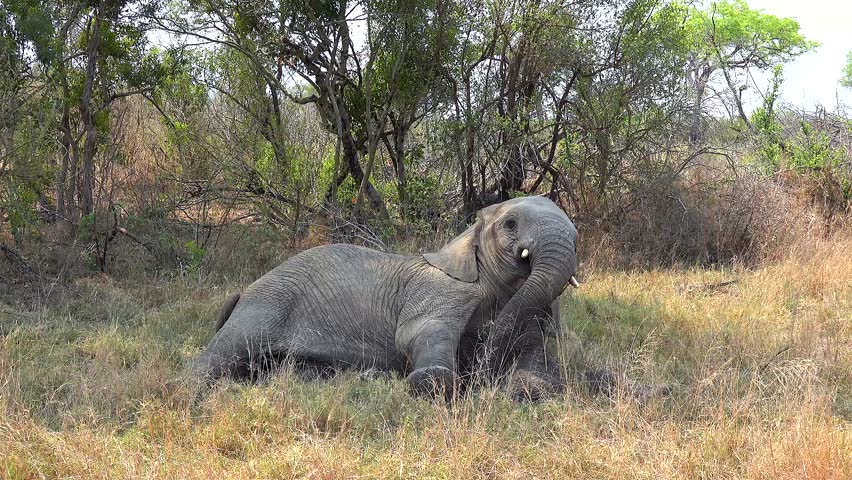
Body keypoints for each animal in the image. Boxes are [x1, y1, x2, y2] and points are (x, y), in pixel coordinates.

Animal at [190, 196, 580, 401]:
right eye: (510, 224)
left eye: (576, 235)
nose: (482, 373)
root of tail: (246, 289)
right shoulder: (437, 291)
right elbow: (418, 332)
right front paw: (433, 382)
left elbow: (533, 353)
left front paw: (530, 388)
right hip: (268, 303)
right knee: (226, 352)